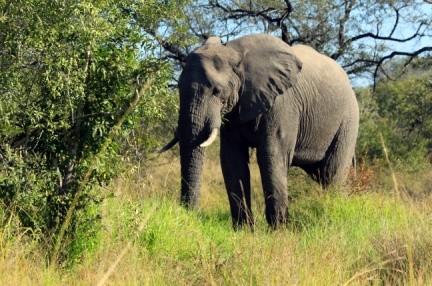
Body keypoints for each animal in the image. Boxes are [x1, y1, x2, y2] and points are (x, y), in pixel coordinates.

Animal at [160, 33, 360, 230]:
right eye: (178, 88)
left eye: (217, 91)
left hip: (348, 121)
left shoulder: (281, 104)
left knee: (332, 173)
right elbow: (232, 159)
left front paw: (278, 231)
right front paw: (243, 231)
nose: (188, 215)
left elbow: (270, 156)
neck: (234, 53)